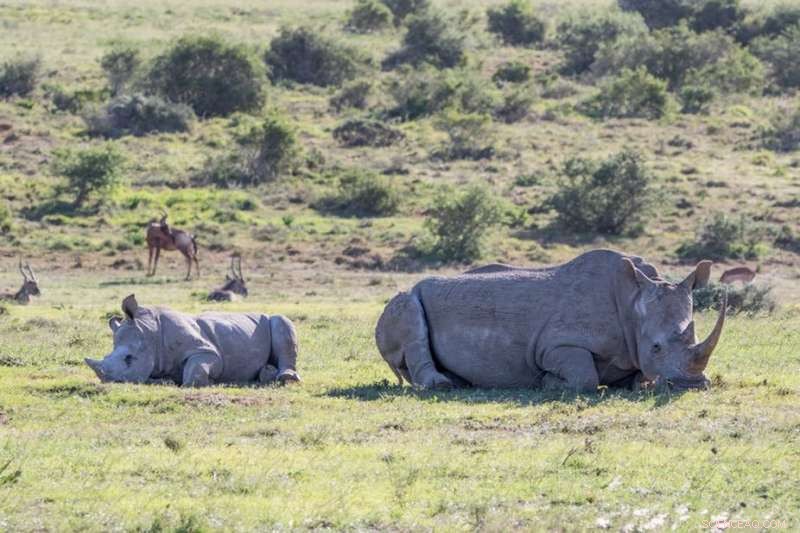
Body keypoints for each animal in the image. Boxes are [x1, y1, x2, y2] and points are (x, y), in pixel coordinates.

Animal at [85, 295, 300, 386]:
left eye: (129, 358)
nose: (110, 381)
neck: (150, 333)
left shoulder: (207, 351)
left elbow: (195, 370)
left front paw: (203, 382)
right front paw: (166, 381)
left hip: (272, 319)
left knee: (281, 321)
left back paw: (285, 378)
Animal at [376, 249, 726, 391]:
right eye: (655, 347)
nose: (693, 385)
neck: (631, 302)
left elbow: (638, 377)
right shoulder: (555, 345)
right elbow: (584, 377)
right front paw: (549, 383)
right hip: (408, 296)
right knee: (410, 309)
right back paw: (443, 386)